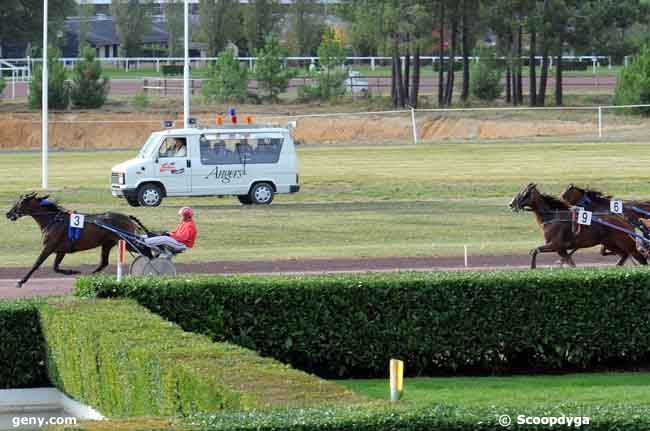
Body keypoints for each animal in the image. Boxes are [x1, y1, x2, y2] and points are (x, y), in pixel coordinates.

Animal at [6, 194, 148, 288]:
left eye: (21, 202)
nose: (8, 214)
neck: (53, 220)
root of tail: (127, 218)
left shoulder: (48, 247)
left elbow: (36, 264)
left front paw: (21, 281)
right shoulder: (60, 250)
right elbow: (55, 267)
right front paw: (72, 271)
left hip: (126, 241)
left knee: (146, 250)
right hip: (108, 243)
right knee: (103, 262)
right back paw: (89, 275)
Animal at [512, 183, 644, 270]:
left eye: (524, 193)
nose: (511, 204)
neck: (553, 217)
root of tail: (626, 222)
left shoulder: (555, 244)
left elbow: (534, 250)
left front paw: (532, 267)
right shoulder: (561, 249)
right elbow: (571, 263)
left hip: (625, 243)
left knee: (638, 257)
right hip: (610, 243)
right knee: (624, 255)